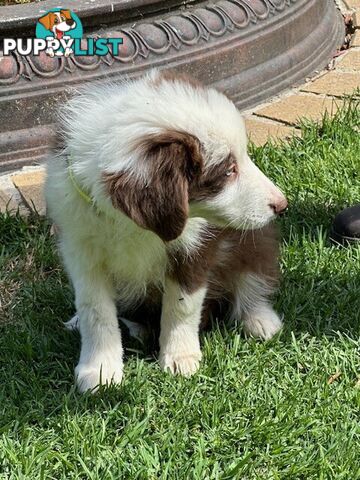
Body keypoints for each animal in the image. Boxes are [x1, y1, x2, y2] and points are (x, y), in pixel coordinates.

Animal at [45, 71, 286, 394]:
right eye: (228, 170)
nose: (281, 204)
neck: (132, 225)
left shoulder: (196, 247)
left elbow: (183, 305)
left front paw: (180, 358)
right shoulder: (82, 250)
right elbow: (94, 309)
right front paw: (100, 370)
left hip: (254, 241)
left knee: (253, 279)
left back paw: (260, 320)